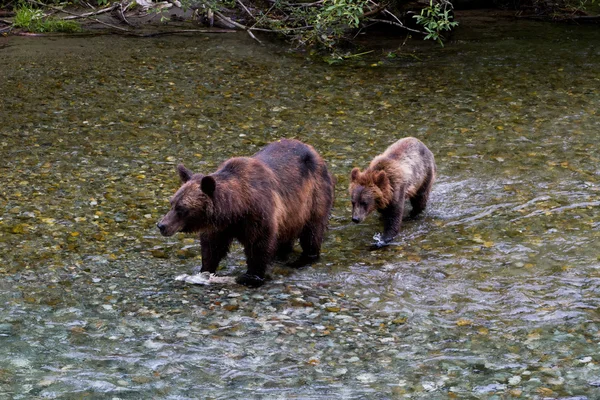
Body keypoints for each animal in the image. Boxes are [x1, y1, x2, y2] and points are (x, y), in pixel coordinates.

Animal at [157, 138, 336, 288]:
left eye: (181, 208)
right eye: (172, 203)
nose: (161, 225)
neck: (236, 209)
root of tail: (313, 150)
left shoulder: (258, 214)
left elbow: (258, 245)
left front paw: (251, 276)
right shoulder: (220, 227)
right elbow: (212, 248)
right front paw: (204, 271)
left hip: (314, 197)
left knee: (312, 232)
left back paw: (303, 259)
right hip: (291, 215)